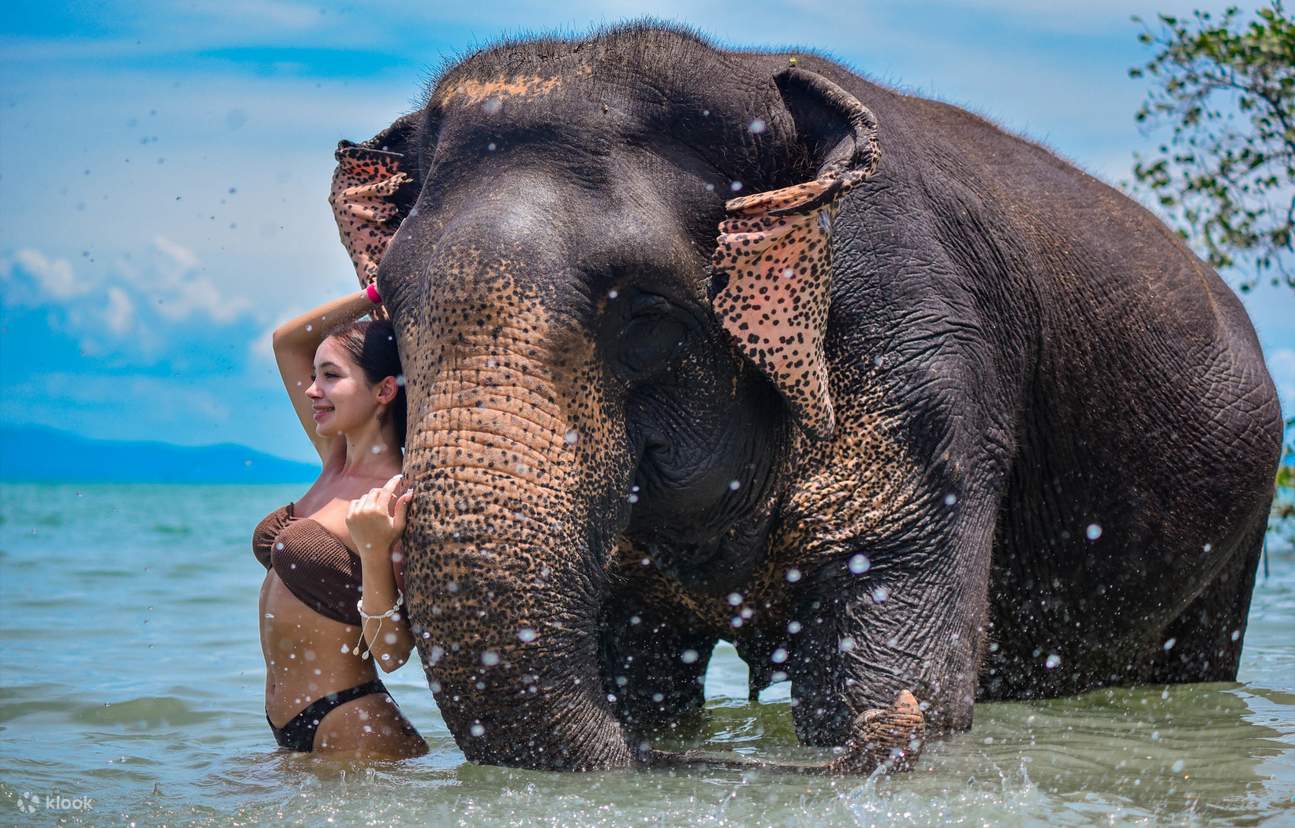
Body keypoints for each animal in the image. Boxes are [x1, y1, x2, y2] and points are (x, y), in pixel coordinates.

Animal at [324, 24, 1284, 772]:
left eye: (646, 309)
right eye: (391, 307)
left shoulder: (928, 358)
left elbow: (880, 679)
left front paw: (884, 713)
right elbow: (641, 671)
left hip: (1239, 523)